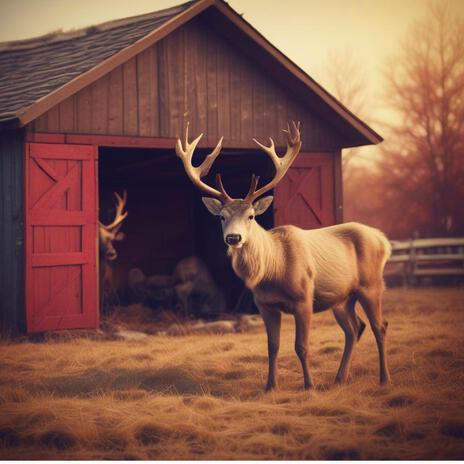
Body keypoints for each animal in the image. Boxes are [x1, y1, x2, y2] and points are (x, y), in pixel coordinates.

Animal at [174, 121, 392, 390]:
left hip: (371, 285)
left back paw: (384, 379)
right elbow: (272, 346)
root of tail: (383, 240)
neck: (273, 270)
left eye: (251, 216)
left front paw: (309, 386)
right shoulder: (265, 305)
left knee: (379, 326)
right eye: (222, 216)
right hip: (342, 298)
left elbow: (301, 346)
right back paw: (340, 378)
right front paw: (270, 386)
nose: (233, 238)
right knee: (354, 328)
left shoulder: (304, 299)